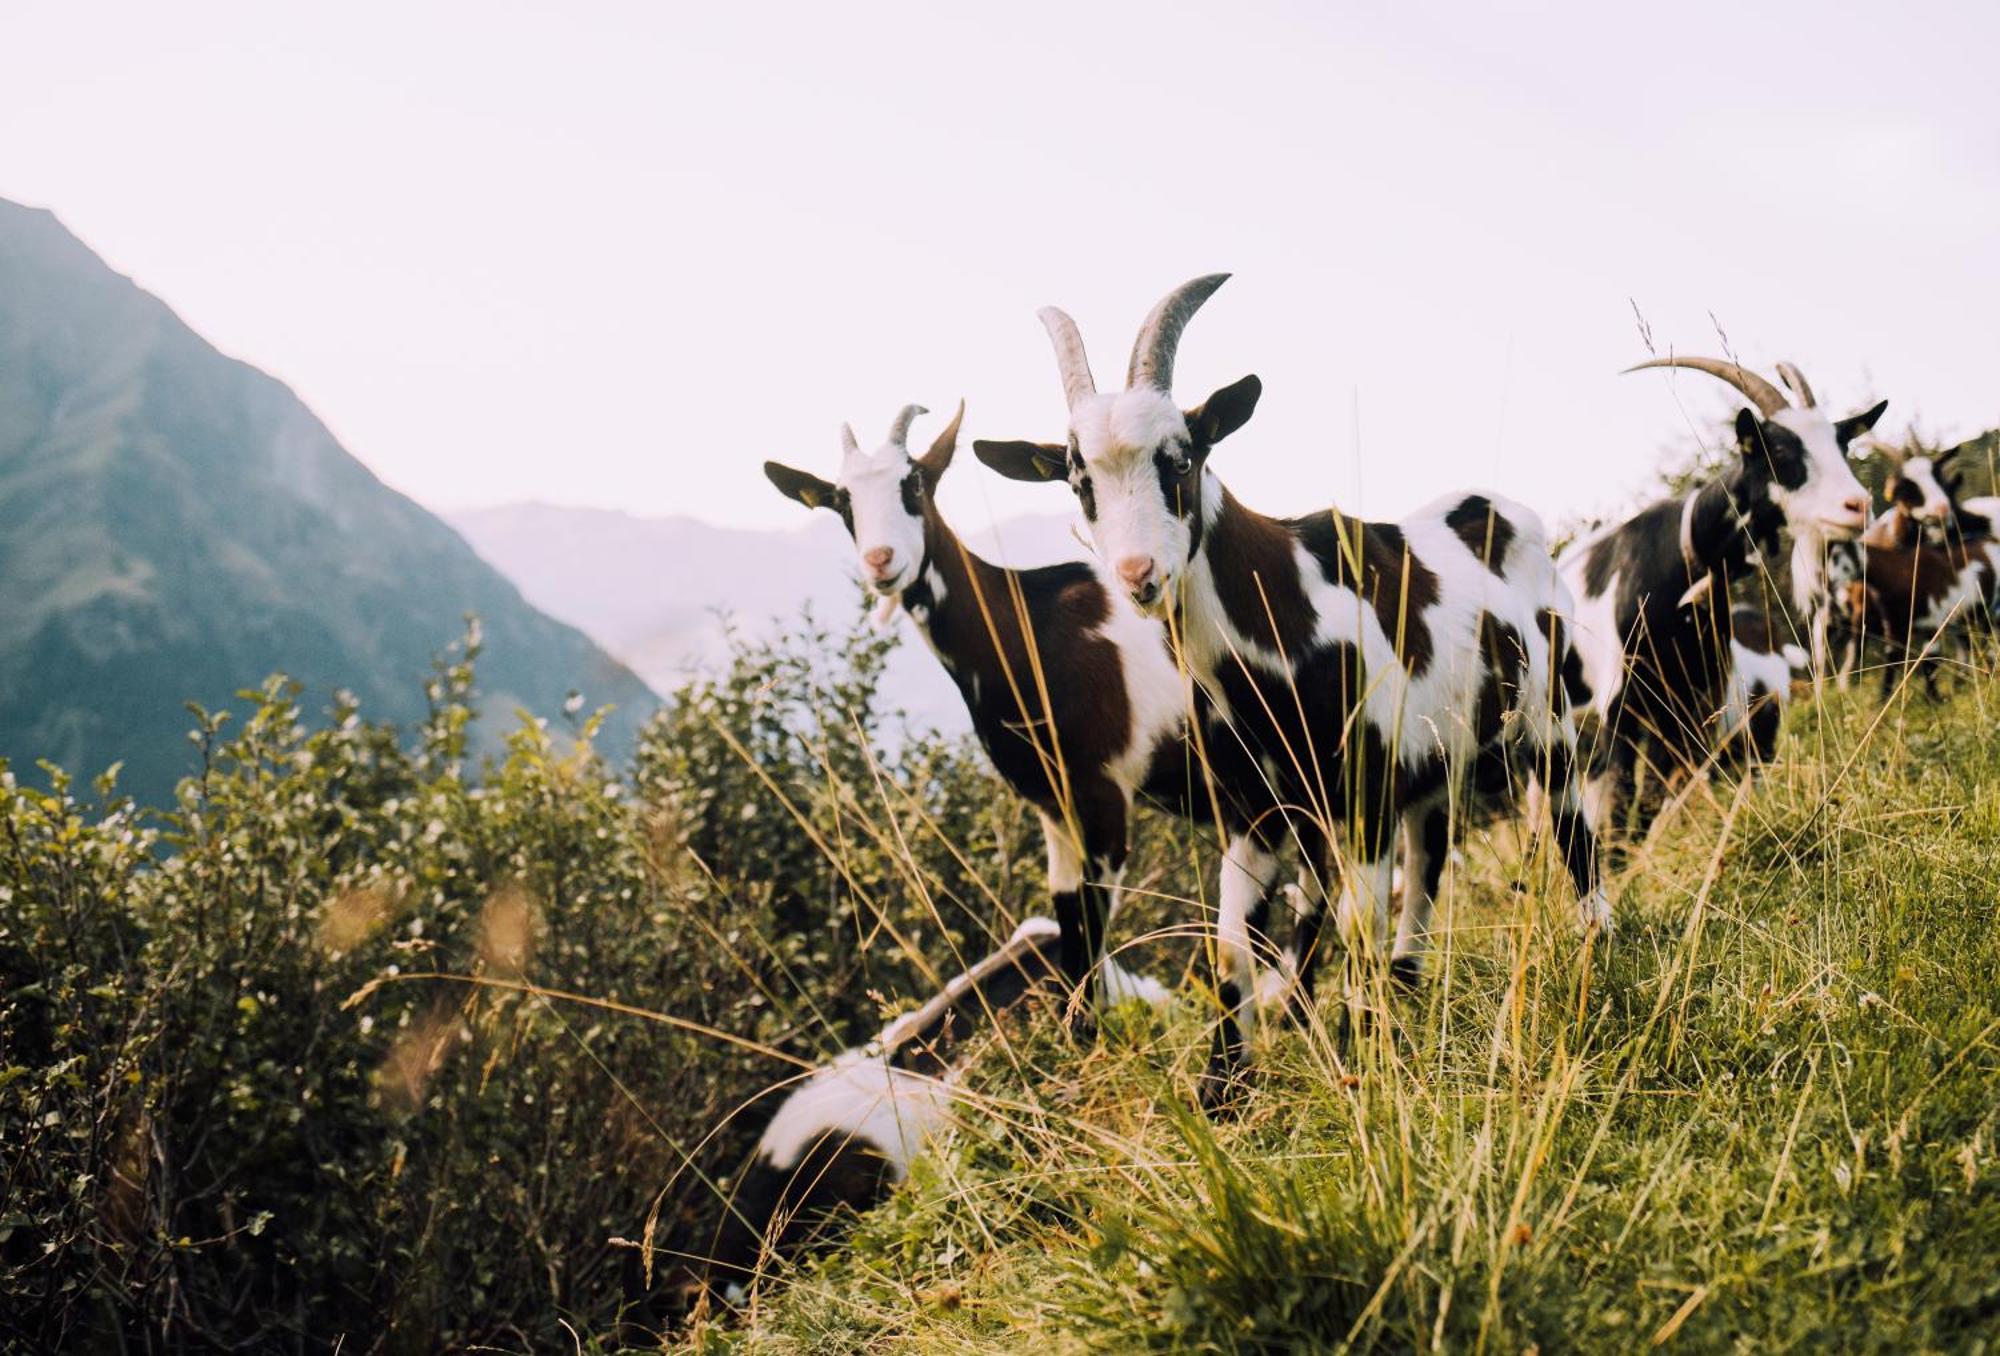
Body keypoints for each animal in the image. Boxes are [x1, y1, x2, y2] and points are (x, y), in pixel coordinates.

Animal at [760, 406, 1200, 1040]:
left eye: (915, 482)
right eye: (842, 501)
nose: (881, 561)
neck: (1027, 625)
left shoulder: (1103, 795)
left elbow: (1090, 923)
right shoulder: (1051, 804)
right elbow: (1069, 916)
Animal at [976, 270, 1616, 1112]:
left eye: (1182, 458)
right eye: (1080, 480)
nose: (1139, 576)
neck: (1284, 614)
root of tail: (1495, 510)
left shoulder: (1365, 784)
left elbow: (1352, 919)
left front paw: (1364, 1053)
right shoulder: (1256, 809)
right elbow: (1230, 944)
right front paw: (1226, 1086)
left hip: (1542, 716)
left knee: (1571, 822)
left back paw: (1596, 939)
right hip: (1429, 769)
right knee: (1430, 858)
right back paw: (1407, 983)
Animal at [1560, 356, 1888, 836]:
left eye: (1842, 447)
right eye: (1781, 453)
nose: (1857, 505)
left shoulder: (1685, 712)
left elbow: (1650, 802)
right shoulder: (1618, 708)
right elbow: (1621, 805)